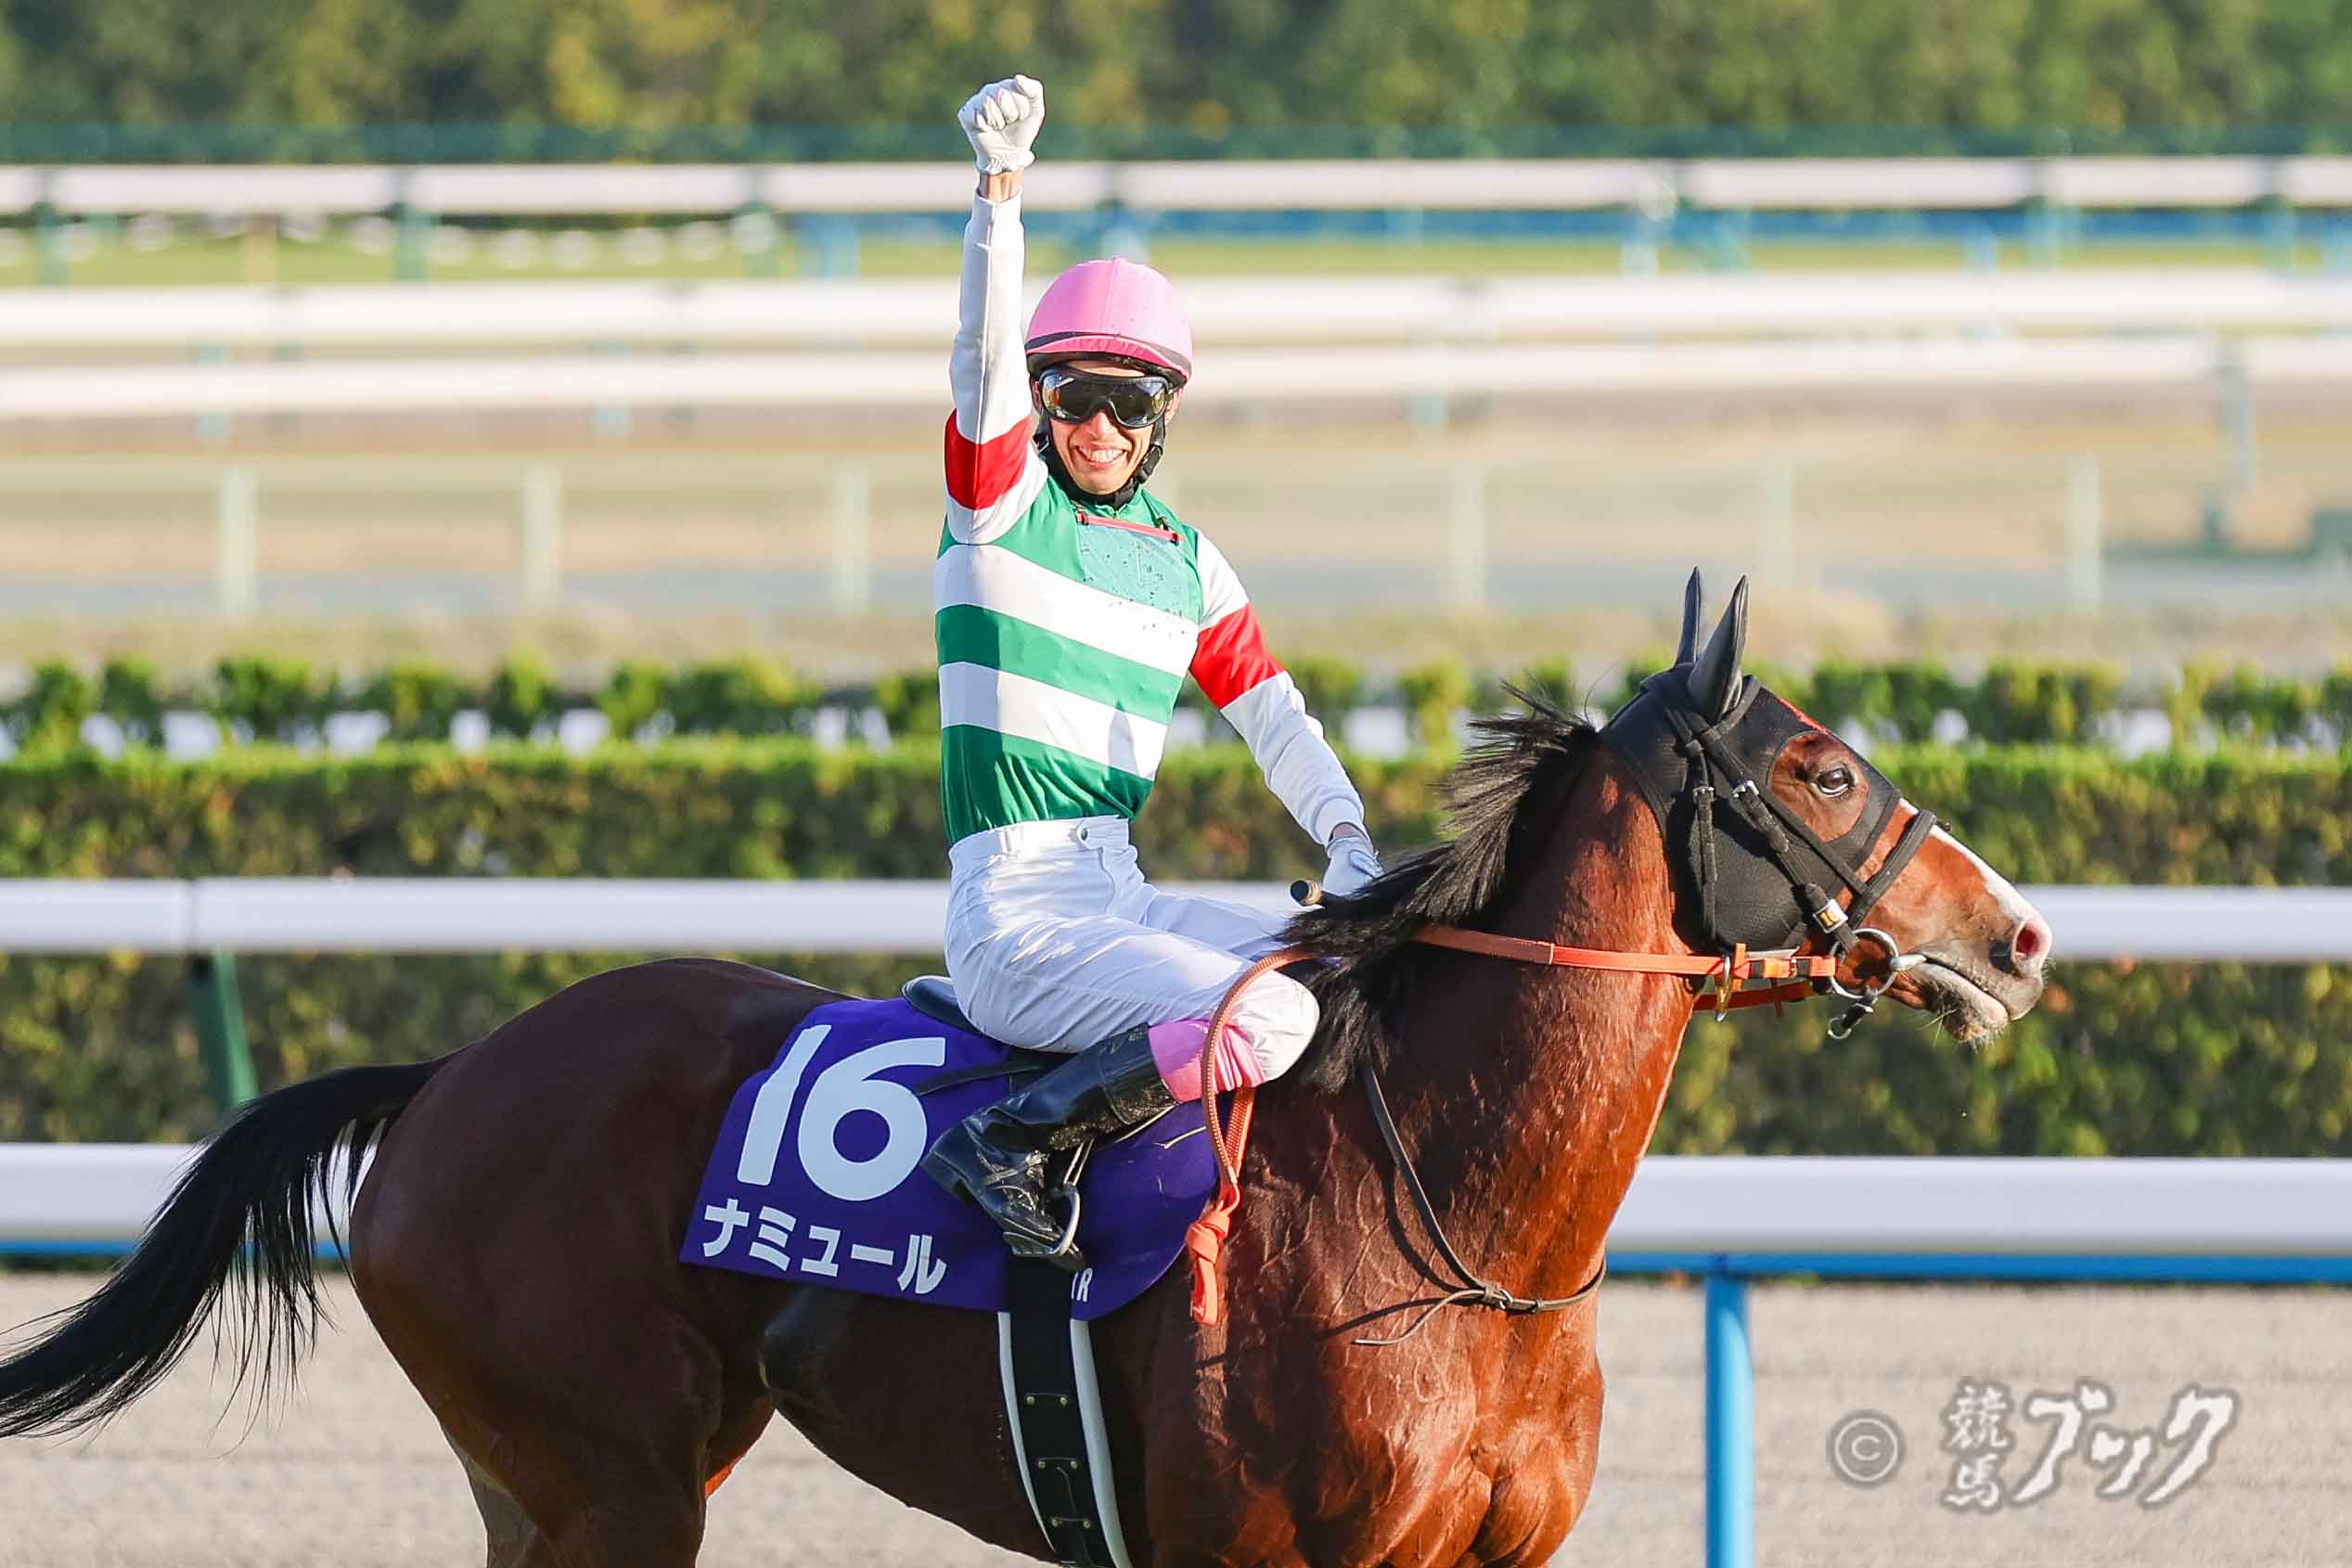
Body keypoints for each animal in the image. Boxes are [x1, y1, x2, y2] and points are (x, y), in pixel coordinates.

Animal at [0, 574, 2050, 1567]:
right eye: (1821, 769)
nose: (2017, 934)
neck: (1451, 1226)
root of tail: (448, 1077)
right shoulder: (1260, 1558)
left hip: (573, 1477)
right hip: (612, 1482)